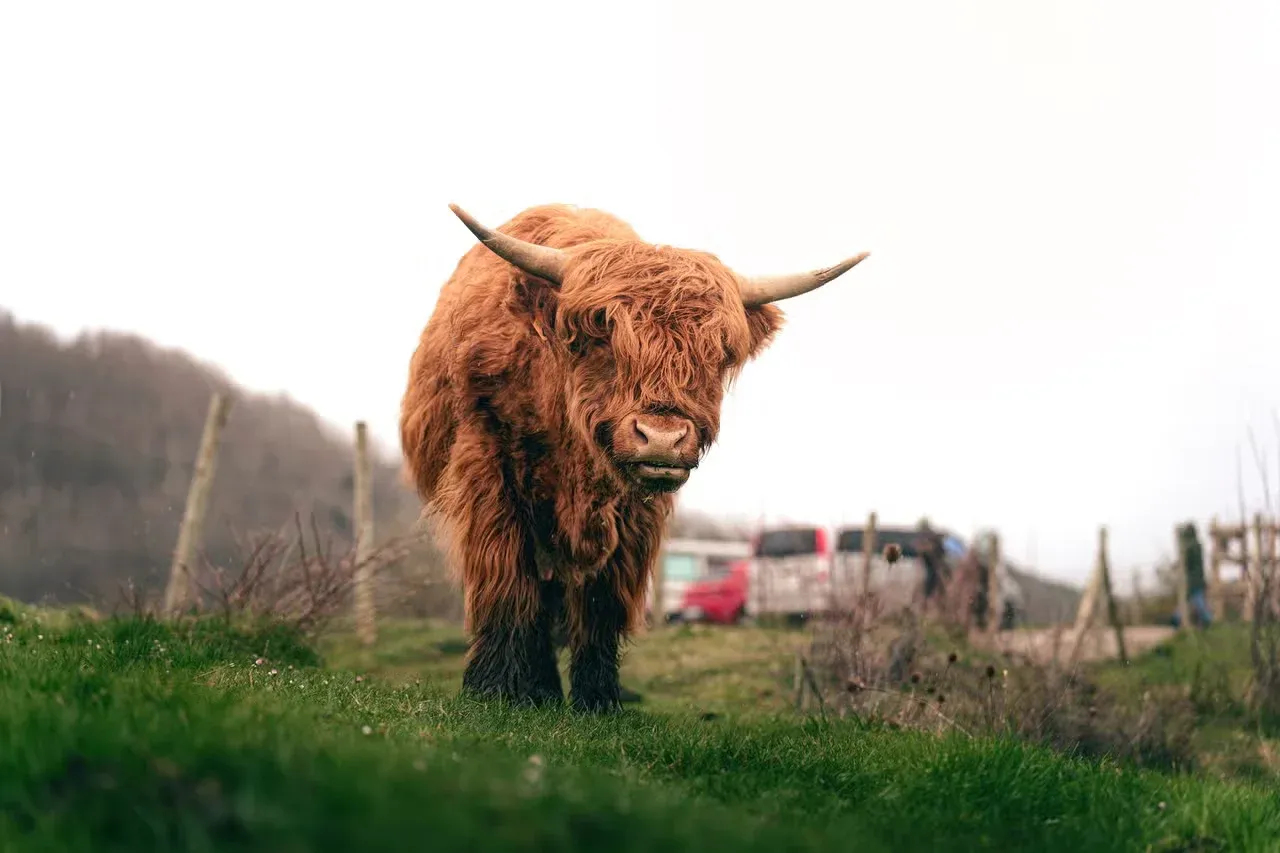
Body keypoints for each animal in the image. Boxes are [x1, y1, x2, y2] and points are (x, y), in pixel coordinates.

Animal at [399, 203, 868, 712]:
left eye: (719, 351)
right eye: (599, 334)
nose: (662, 437)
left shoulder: (635, 513)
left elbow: (602, 600)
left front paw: (598, 699)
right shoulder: (489, 466)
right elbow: (506, 577)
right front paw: (494, 690)